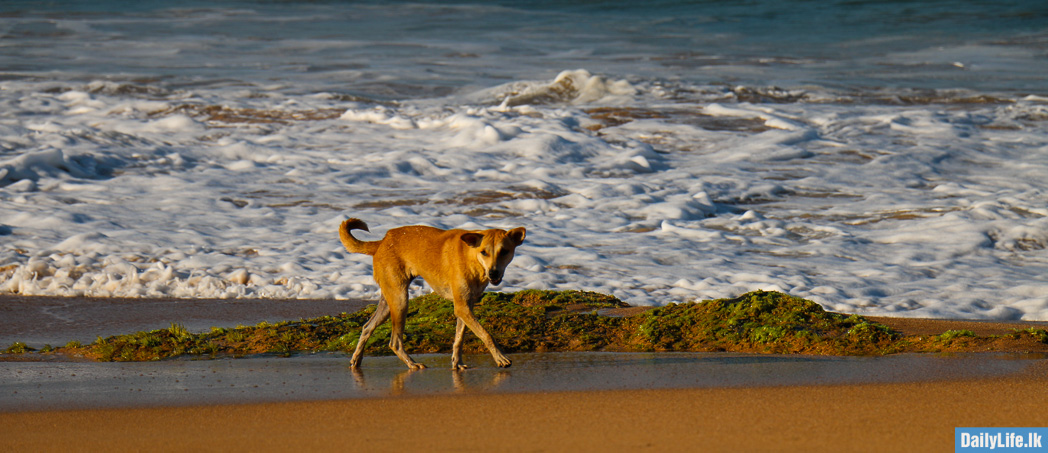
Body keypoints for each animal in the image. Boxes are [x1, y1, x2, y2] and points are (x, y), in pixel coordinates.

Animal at [339, 218, 528, 369]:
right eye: (484, 252)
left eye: (504, 252)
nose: (494, 273)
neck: (471, 257)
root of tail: (382, 241)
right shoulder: (462, 307)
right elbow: (486, 334)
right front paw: (500, 357)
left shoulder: (466, 306)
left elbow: (459, 338)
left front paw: (457, 363)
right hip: (401, 300)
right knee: (395, 342)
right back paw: (412, 364)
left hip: (389, 300)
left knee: (367, 327)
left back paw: (356, 359)